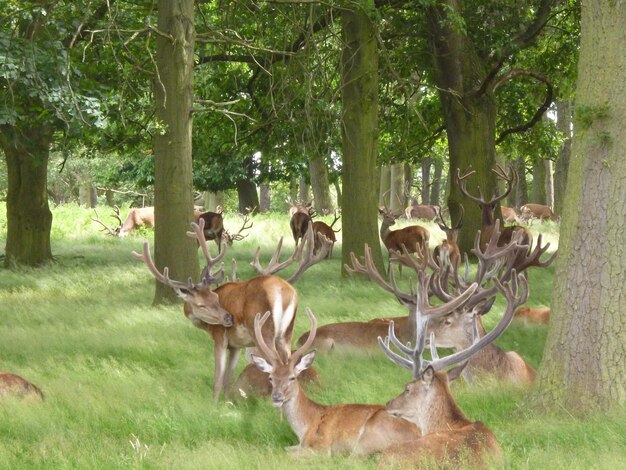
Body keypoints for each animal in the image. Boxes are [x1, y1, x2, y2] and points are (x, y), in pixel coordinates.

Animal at [132, 220, 332, 400]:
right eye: (205, 302)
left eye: (214, 299)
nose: (228, 318)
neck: (206, 326)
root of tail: (284, 292)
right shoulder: (236, 345)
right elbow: (229, 378)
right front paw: (227, 402)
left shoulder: (220, 337)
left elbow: (218, 378)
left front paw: (214, 405)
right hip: (286, 333)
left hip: (263, 330)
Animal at [249, 308, 420, 456]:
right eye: (270, 377)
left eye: (292, 377)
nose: (276, 397)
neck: (305, 427)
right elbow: (284, 448)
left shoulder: (322, 448)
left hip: (366, 440)